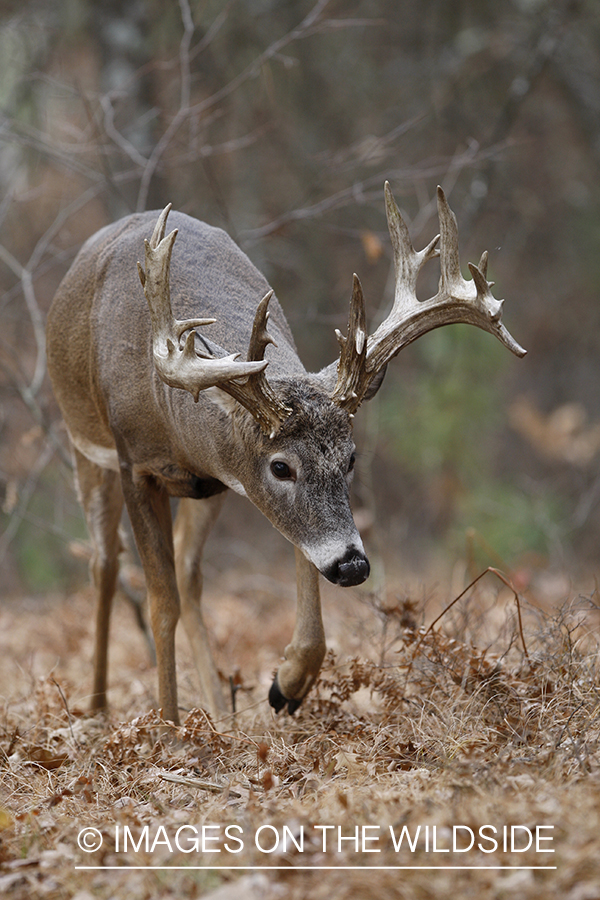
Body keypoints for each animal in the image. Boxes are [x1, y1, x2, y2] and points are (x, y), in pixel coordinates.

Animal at [47, 183, 524, 724]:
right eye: (281, 466)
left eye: (351, 458)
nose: (352, 566)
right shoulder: (136, 464)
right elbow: (159, 602)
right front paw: (168, 727)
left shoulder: (227, 479)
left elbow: (297, 557)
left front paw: (287, 684)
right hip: (85, 449)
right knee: (105, 564)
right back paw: (97, 708)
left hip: (205, 493)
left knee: (189, 572)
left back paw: (219, 712)